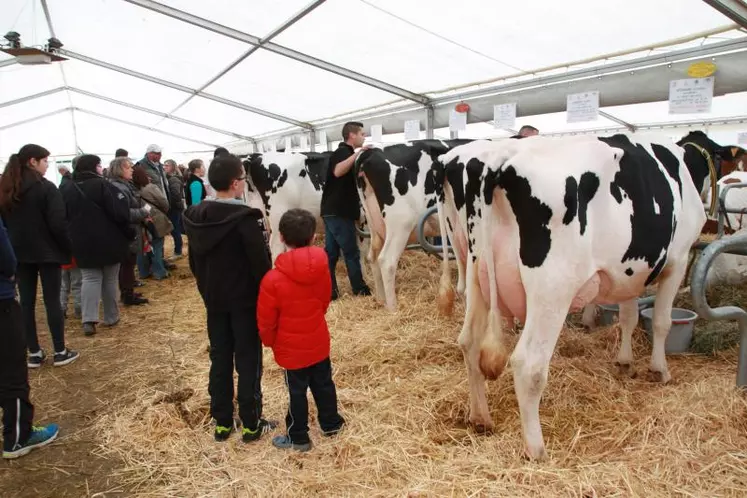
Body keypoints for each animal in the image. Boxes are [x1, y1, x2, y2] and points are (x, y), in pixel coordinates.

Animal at [356, 139, 474, 312]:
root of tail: (369, 153)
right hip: (401, 224)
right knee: (387, 261)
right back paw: (393, 309)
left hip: (375, 226)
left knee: (373, 257)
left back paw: (381, 300)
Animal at [436, 131, 720, 460]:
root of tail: (498, 158)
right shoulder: (678, 260)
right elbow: (662, 322)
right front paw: (659, 370)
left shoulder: (631, 269)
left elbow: (629, 317)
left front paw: (625, 362)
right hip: (552, 285)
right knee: (529, 364)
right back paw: (536, 449)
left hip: (476, 270)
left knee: (469, 342)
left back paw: (480, 417)